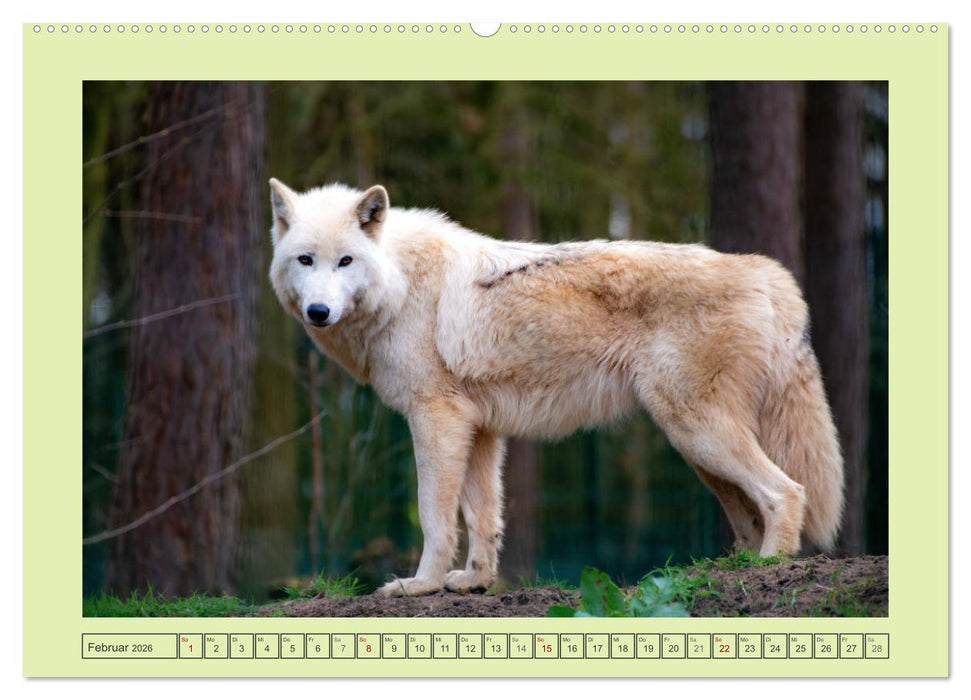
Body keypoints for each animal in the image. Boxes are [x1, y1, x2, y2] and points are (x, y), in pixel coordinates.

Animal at [268, 179, 844, 597]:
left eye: (345, 261)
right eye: (305, 260)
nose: (318, 311)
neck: (401, 286)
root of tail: (765, 272)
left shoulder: (436, 419)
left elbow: (434, 514)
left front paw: (421, 585)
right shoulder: (479, 430)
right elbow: (482, 516)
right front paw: (474, 581)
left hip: (698, 434)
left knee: (786, 491)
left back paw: (770, 565)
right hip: (698, 450)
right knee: (751, 511)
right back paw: (736, 568)